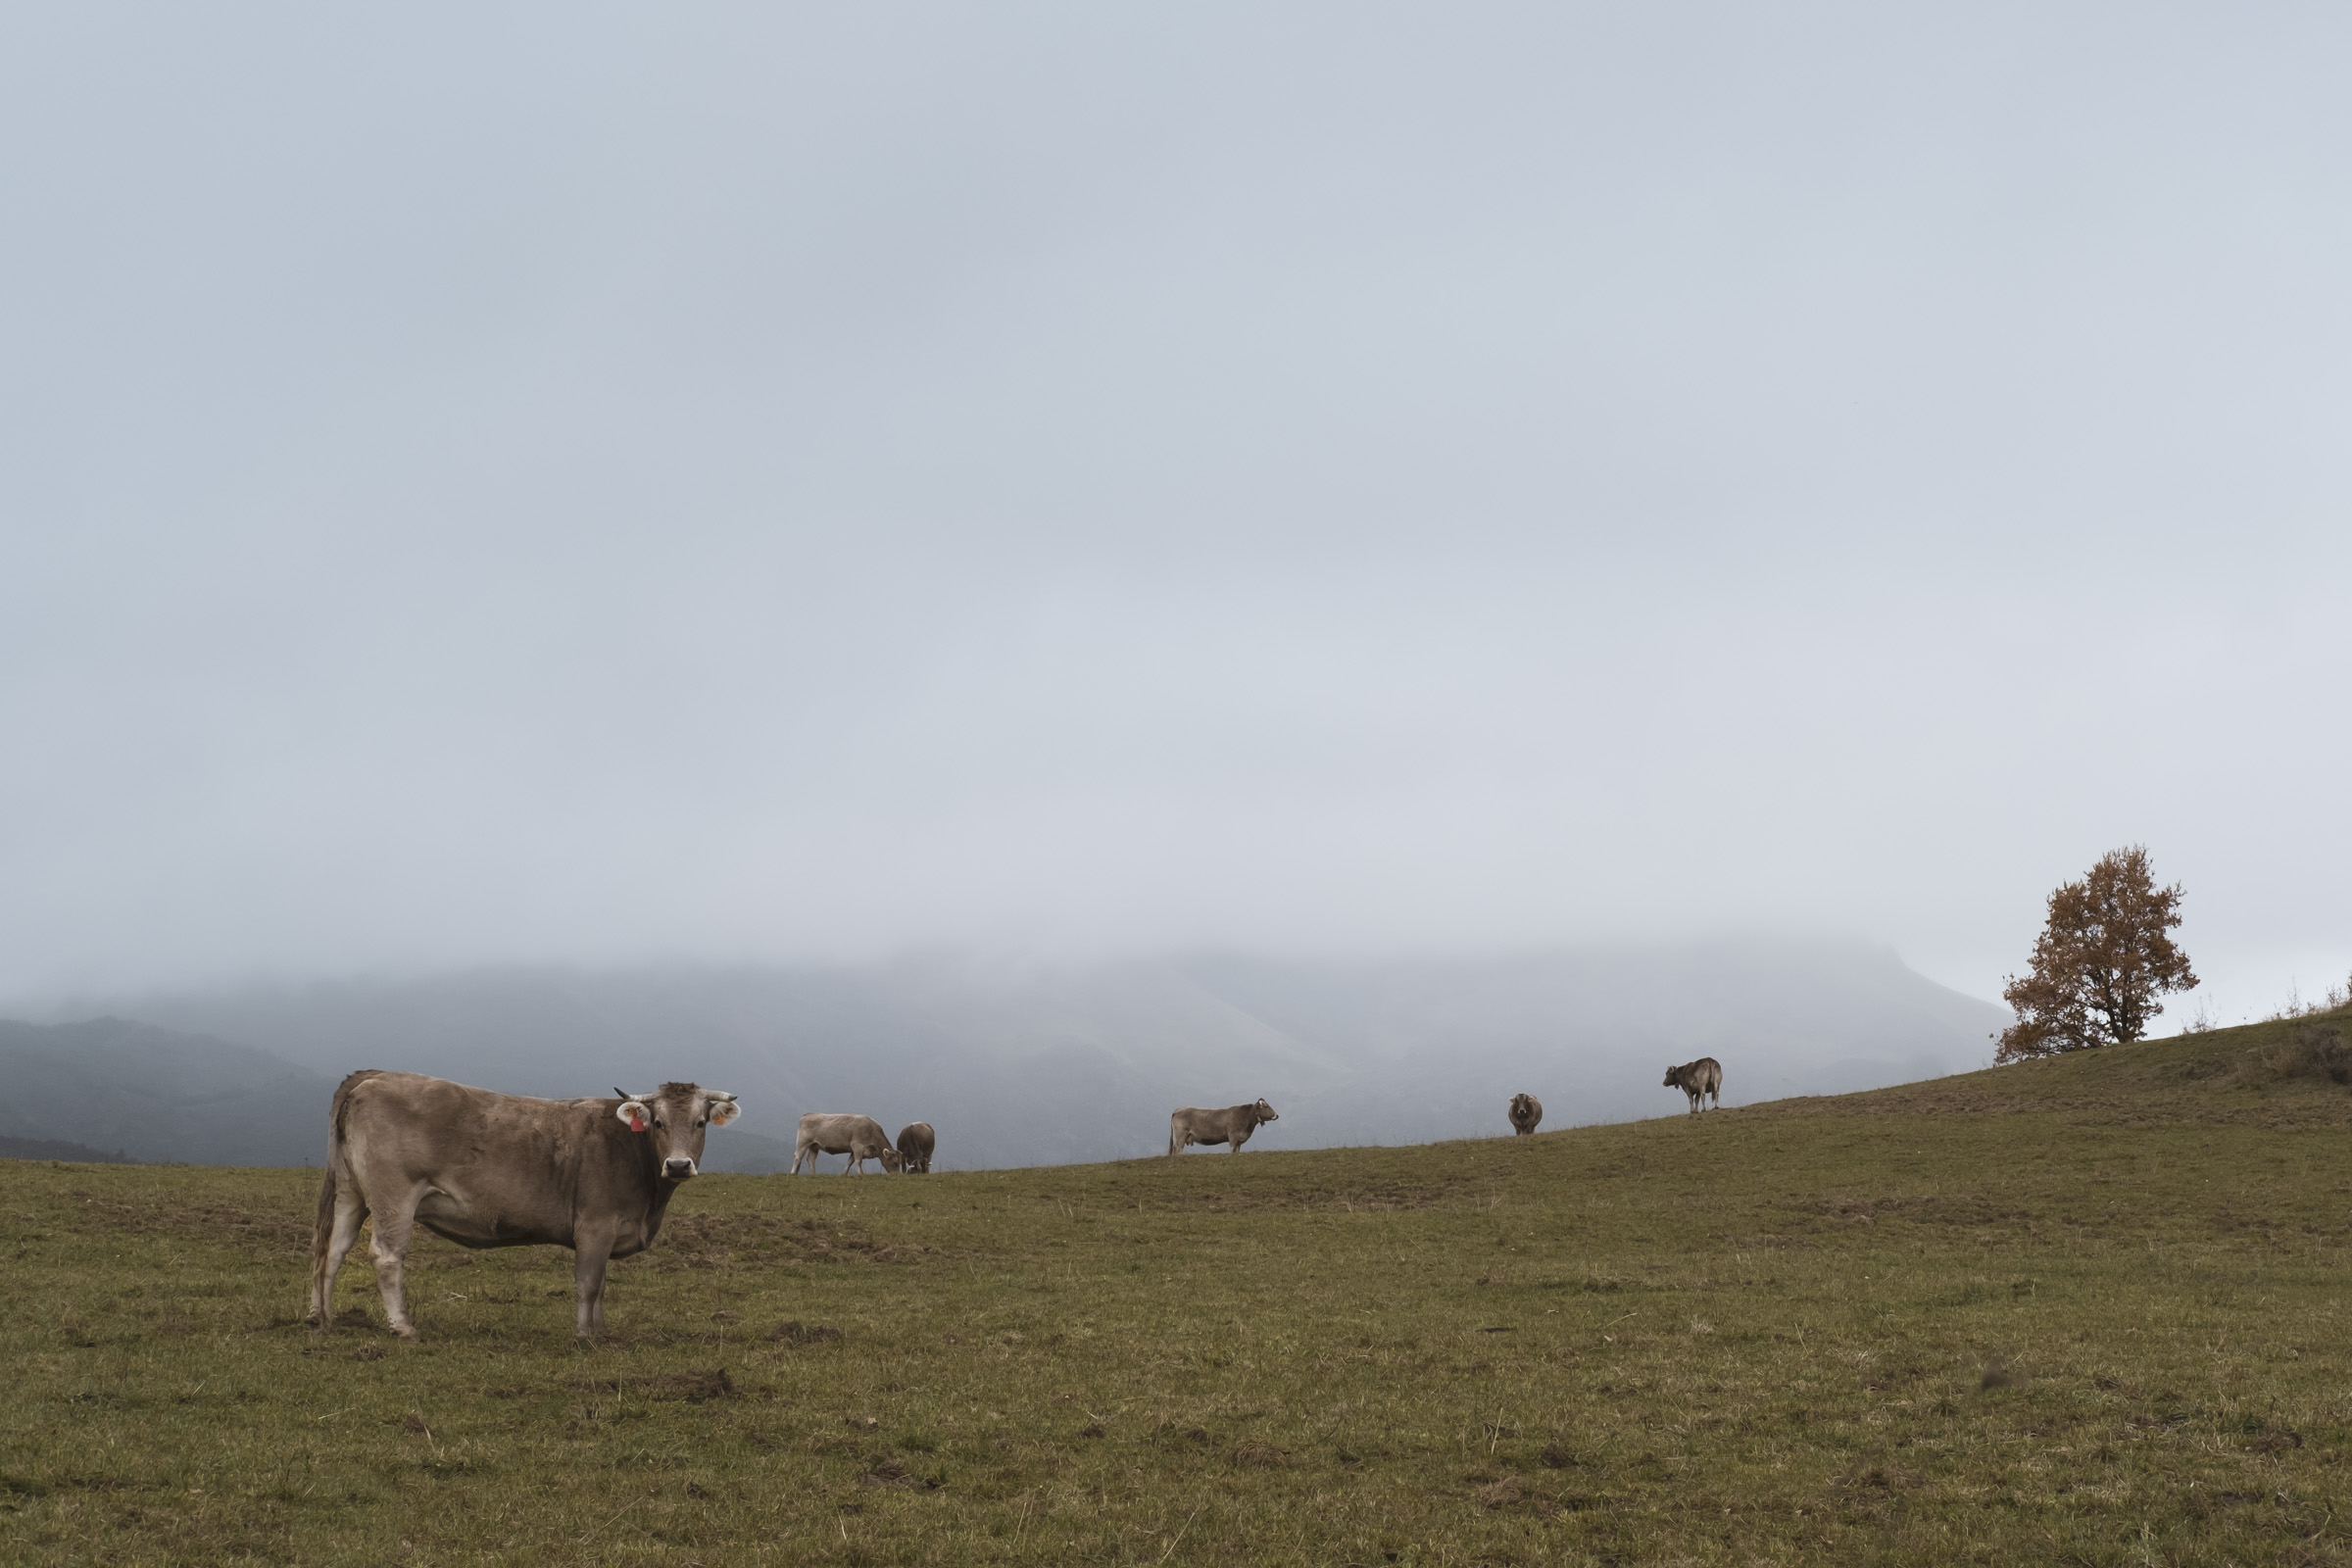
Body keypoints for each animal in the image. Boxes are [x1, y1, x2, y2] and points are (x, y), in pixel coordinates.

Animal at [307, 1071, 740, 1340]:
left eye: (701, 1122)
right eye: (658, 1123)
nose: (678, 1165)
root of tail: (373, 1075)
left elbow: (601, 1286)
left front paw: (601, 1332)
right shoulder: (595, 1226)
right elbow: (588, 1283)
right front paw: (584, 1335)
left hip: (350, 1192)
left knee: (331, 1251)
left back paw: (322, 1318)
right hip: (394, 1196)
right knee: (385, 1255)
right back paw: (403, 1327)